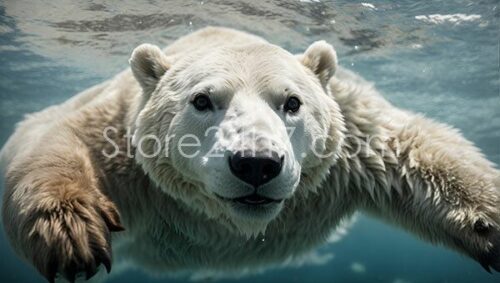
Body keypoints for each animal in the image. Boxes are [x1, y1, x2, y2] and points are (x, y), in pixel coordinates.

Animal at [0, 26, 500, 282]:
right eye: (202, 100)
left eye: (292, 102)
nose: (256, 164)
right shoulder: (122, 139)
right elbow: (48, 134)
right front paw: (70, 229)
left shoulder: (351, 135)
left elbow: (415, 150)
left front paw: (488, 224)